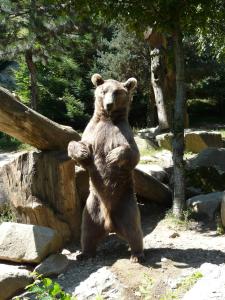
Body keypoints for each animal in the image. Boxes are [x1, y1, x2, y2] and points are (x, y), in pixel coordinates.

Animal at [67, 74, 143, 262]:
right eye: (104, 91)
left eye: (117, 92)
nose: (108, 104)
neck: (107, 119)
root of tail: (110, 225)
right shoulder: (92, 132)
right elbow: (76, 145)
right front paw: (82, 152)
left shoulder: (122, 134)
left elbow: (133, 153)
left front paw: (112, 157)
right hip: (91, 207)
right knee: (87, 231)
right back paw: (84, 253)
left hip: (126, 203)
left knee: (134, 229)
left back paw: (137, 254)